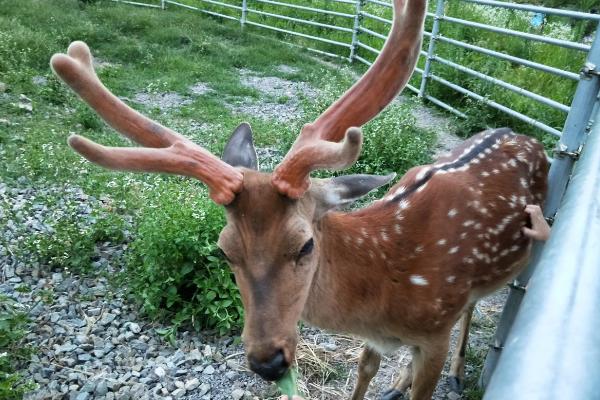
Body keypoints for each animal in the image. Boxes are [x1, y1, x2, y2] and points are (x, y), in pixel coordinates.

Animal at [51, 0, 548, 396]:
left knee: (477, 306)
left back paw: (461, 372)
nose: (267, 363)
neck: (389, 290)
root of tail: (525, 135)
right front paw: (388, 381)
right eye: (224, 251)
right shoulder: (378, 342)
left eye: (305, 244)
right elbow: (365, 369)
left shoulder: (434, 331)